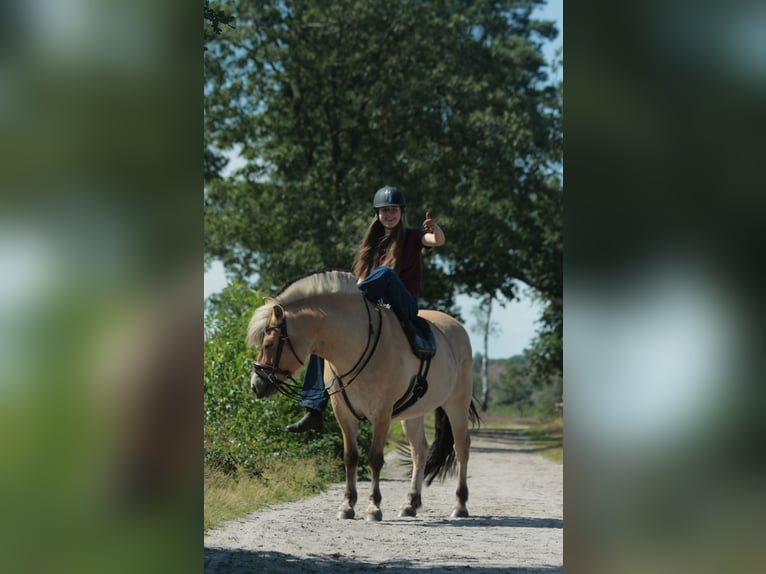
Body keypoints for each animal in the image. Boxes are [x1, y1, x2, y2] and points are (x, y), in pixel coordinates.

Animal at [249, 272, 476, 524]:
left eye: (269, 344)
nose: (256, 385)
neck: (355, 346)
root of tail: (457, 329)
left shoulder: (382, 414)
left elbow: (375, 458)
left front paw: (373, 507)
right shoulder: (344, 414)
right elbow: (350, 457)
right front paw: (347, 505)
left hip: (456, 405)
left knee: (461, 447)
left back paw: (460, 505)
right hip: (413, 414)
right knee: (420, 451)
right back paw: (410, 504)